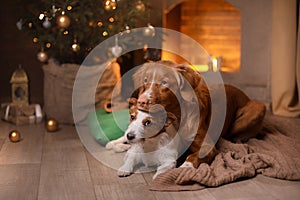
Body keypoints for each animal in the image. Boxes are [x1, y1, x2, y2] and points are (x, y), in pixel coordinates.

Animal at [132, 60, 266, 168]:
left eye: (164, 82)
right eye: (145, 80)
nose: (141, 101)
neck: (177, 117)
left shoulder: (207, 146)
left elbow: (192, 156)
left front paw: (184, 168)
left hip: (259, 107)